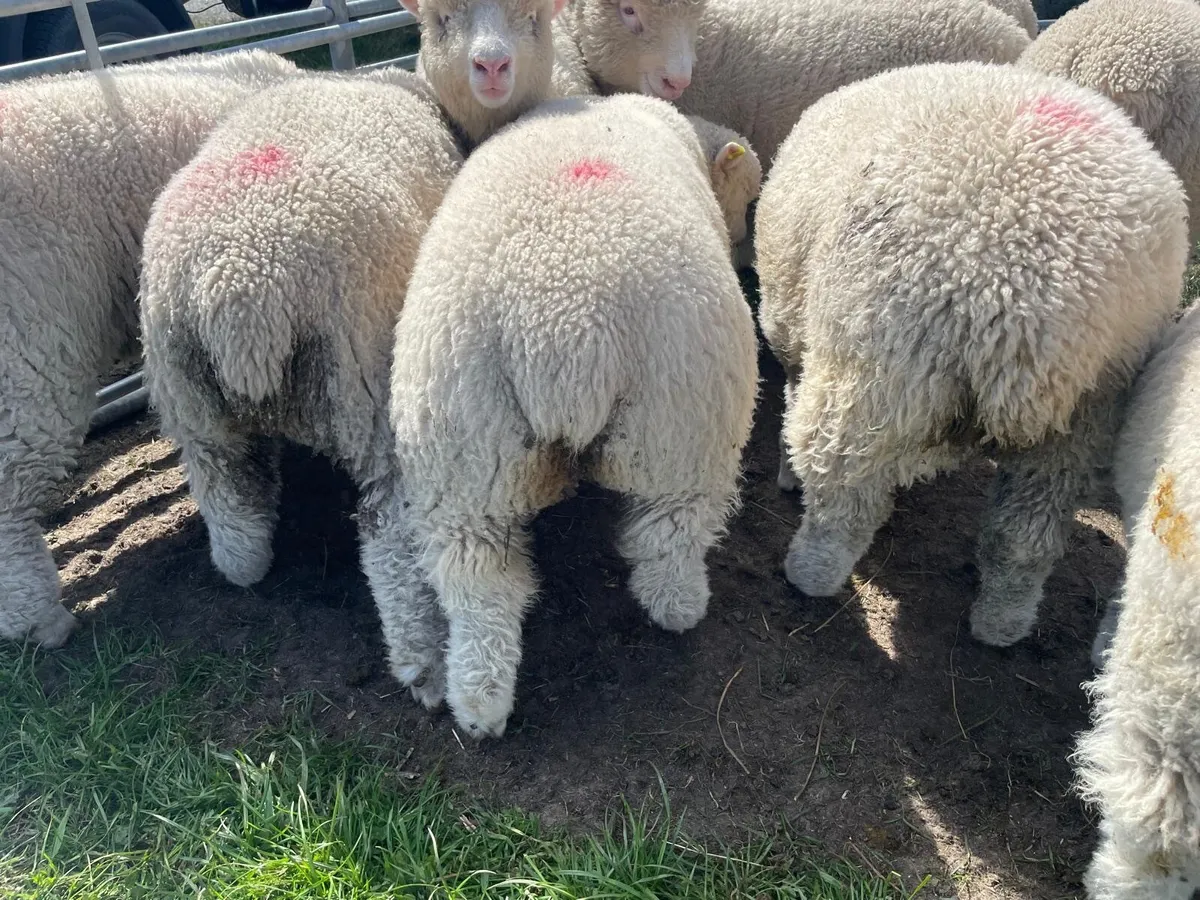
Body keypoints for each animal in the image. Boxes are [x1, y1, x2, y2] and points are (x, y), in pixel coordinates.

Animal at [385, 92, 762, 738]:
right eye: (747, 195)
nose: (743, 247)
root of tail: (564, 328)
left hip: (465, 445)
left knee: (479, 584)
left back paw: (478, 705)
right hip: (683, 425)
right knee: (668, 536)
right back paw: (680, 608)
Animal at [754, 61, 1189, 649]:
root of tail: (1021, 298)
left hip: (885, 359)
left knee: (841, 482)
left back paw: (809, 574)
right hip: (1089, 403)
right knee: (1026, 532)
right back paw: (1001, 624)